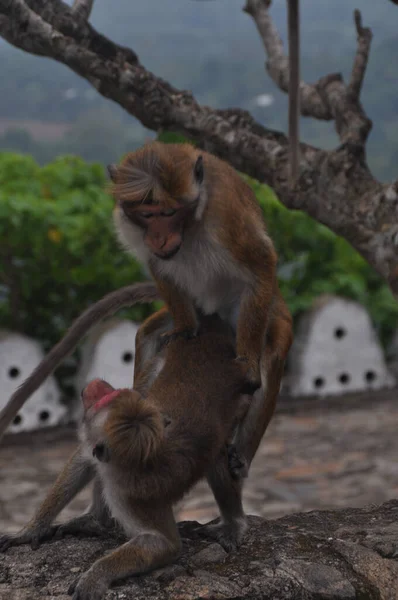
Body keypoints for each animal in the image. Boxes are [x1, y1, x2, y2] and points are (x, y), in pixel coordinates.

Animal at [0, 314, 252, 600]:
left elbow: (164, 543)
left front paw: (96, 576)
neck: (133, 462)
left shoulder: (130, 497)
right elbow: (82, 460)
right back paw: (94, 520)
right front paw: (31, 530)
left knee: (219, 453)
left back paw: (233, 523)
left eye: (107, 398)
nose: (98, 386)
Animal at [108, 139, 292, 478]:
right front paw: (184, 329)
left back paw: (242, 453)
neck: (191, 225)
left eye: (168, 212)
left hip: (262, 309)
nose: (158, 237)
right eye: (146, 214)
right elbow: (158, 266)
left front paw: (249, 364)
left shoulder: (225, 215)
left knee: (272, 349)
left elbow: (260, 263)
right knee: (149, 335)